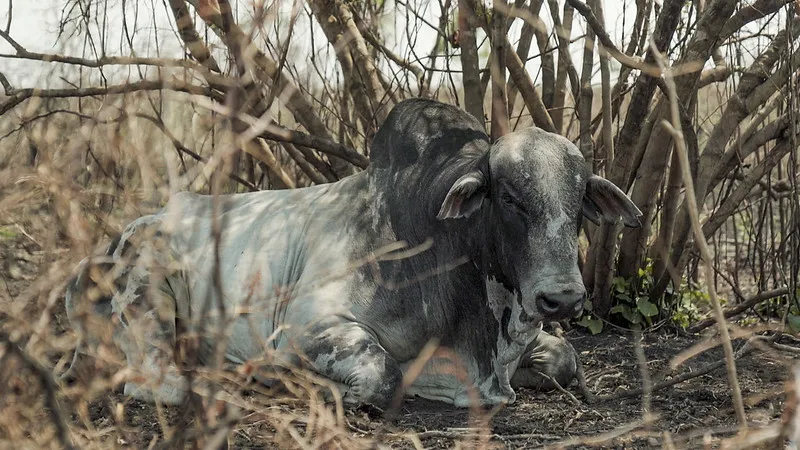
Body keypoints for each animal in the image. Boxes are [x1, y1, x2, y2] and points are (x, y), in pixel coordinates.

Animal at [63, 98, 641, 408]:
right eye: (510, 198)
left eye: (580, 200)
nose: (561, 299)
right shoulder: (305, 324)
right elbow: (382, 379)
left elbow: (565, 358)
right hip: (147, 303)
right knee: (162, 384)